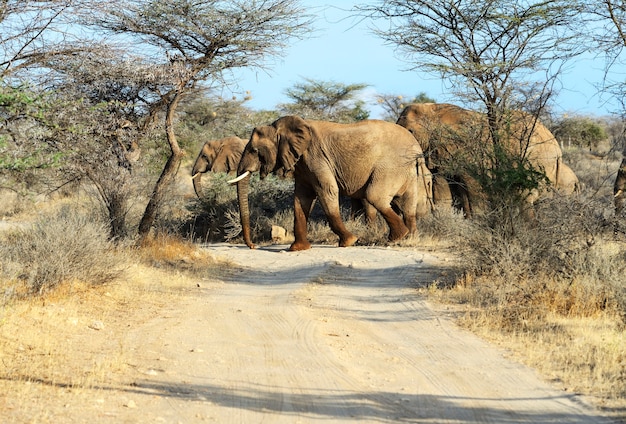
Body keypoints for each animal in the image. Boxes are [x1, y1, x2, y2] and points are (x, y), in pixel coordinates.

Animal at [227, 114, 432, 250]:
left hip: (391, 165)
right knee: (407, 204)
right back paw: (409, 238)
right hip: (407, 170)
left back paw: (396, 238)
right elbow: (301, 199)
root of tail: (416, 146)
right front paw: (297, 249)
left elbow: (327, 190)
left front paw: (349, 242)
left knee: (374, 196)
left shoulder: (316, 157)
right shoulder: (303, 165)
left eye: (254, 150)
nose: (253, 246)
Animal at [398, 101, 576, 217]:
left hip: (535, 161)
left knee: (526, 197)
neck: (433, 109)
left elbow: (470, 185)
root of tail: (557, 148)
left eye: (411, 131)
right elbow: (445, 186)